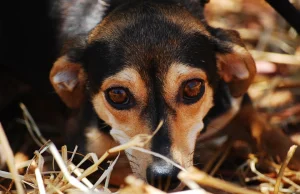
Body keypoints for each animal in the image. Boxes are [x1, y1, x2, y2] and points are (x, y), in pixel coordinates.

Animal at [48, 0, 298, 191]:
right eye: (117, 94)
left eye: (192, 87)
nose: (164, 176)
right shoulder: (85, 157)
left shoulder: (239, 110)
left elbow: (281, 142)